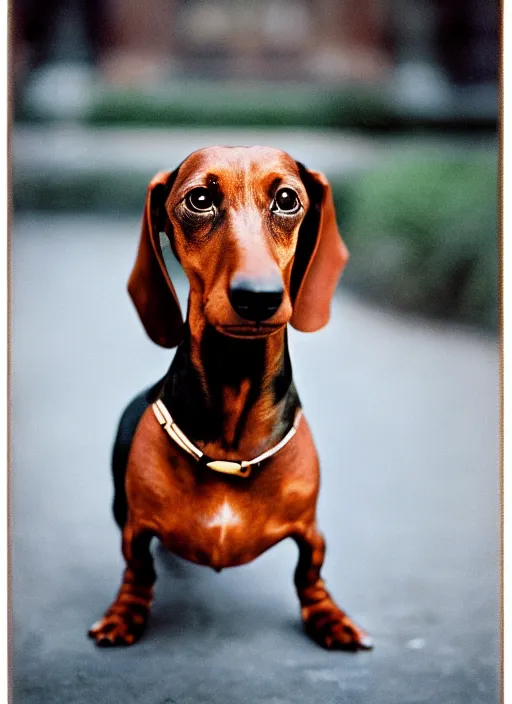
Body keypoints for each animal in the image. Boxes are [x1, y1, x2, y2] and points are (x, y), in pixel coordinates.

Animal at [88, 147, 372, 648]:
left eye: (287, 199)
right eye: (199, 199)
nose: (257, 297)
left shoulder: (312, 533)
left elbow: (309, 572)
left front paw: (328, 617)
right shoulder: (136, 529)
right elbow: (138, 568)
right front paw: (125, 613)